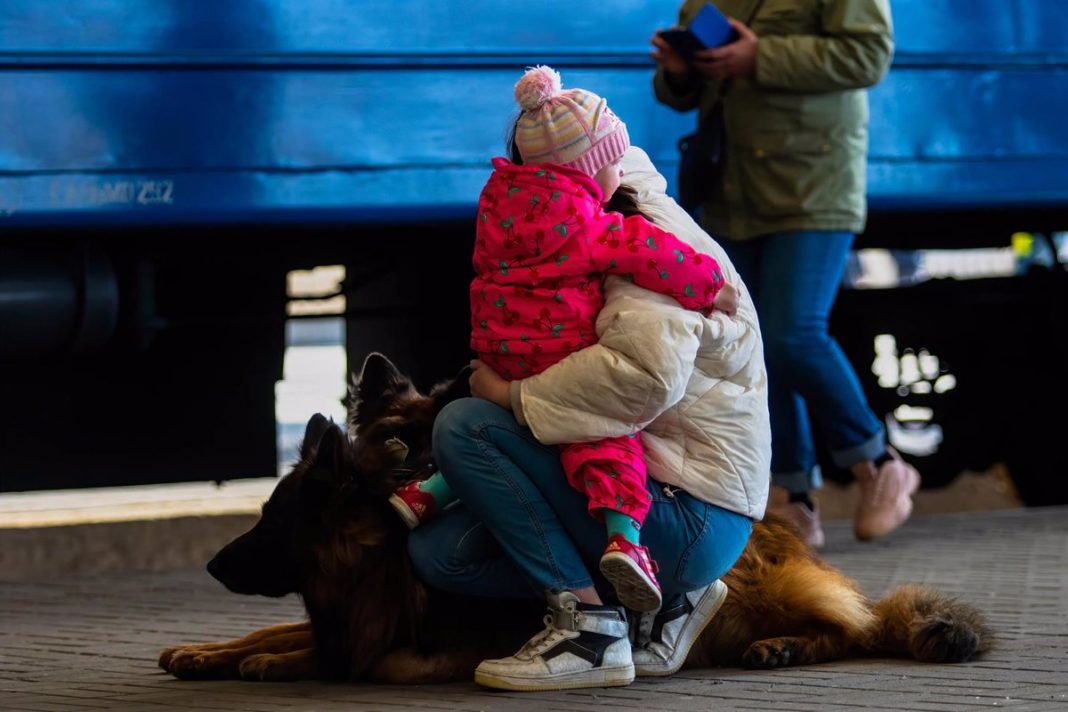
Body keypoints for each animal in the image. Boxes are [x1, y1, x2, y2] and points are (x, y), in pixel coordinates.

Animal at [160, 354, 991, 683]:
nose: (211, 564)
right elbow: (272, 630)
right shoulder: (341, 612)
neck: (368, 552)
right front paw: (205, 649)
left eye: (268, 524)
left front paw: (269, 662)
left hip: (756, 586)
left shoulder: (402, 638)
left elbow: (344, 654)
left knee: (855, 627)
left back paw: (785, 645)